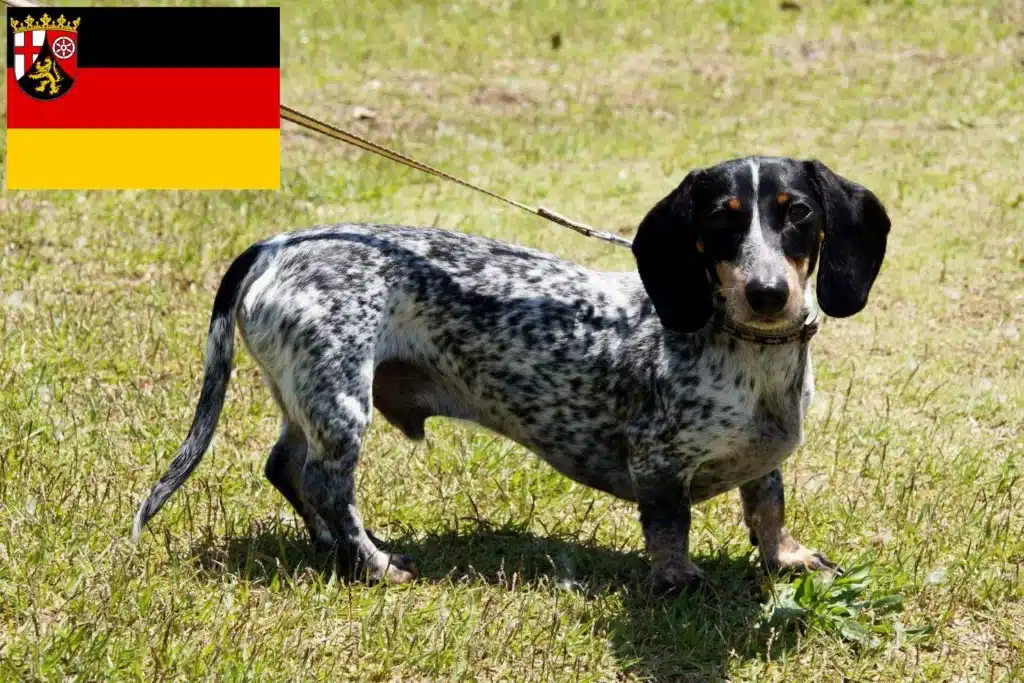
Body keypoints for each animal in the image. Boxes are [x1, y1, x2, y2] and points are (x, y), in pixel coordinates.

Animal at [134, 154, 888, 593]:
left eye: (798, 215)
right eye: (721, 222)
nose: (768, 294)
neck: (746, 350)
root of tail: (276, 245)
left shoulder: (765, 462)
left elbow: (767, 506)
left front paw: (785, 558)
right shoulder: (657, 458)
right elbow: (669, 525)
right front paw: (678, 581)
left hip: (306, 394)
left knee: (286, 467)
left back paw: (332, 546)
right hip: (341, 399)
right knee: (326, 482)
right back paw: (374, 564)